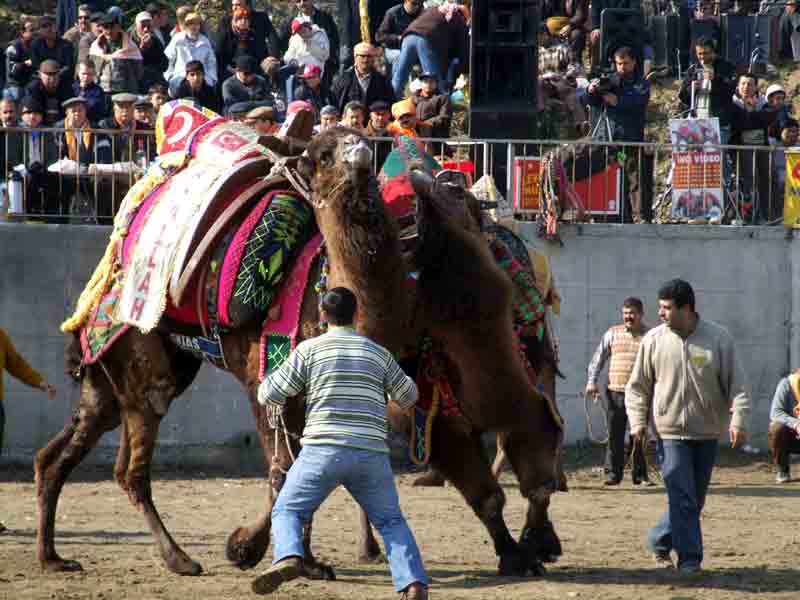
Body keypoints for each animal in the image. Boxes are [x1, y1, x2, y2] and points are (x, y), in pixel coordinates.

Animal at [36, 129, 564, 584]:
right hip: (144, 363)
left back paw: (53, 557)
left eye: (357, 136)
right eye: (323, 152)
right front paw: (258, 552)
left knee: (60, 453)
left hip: (112, 375)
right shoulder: (272, 379)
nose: (359, 152)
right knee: (133, 466)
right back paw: (179, 559)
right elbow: (287, 471)